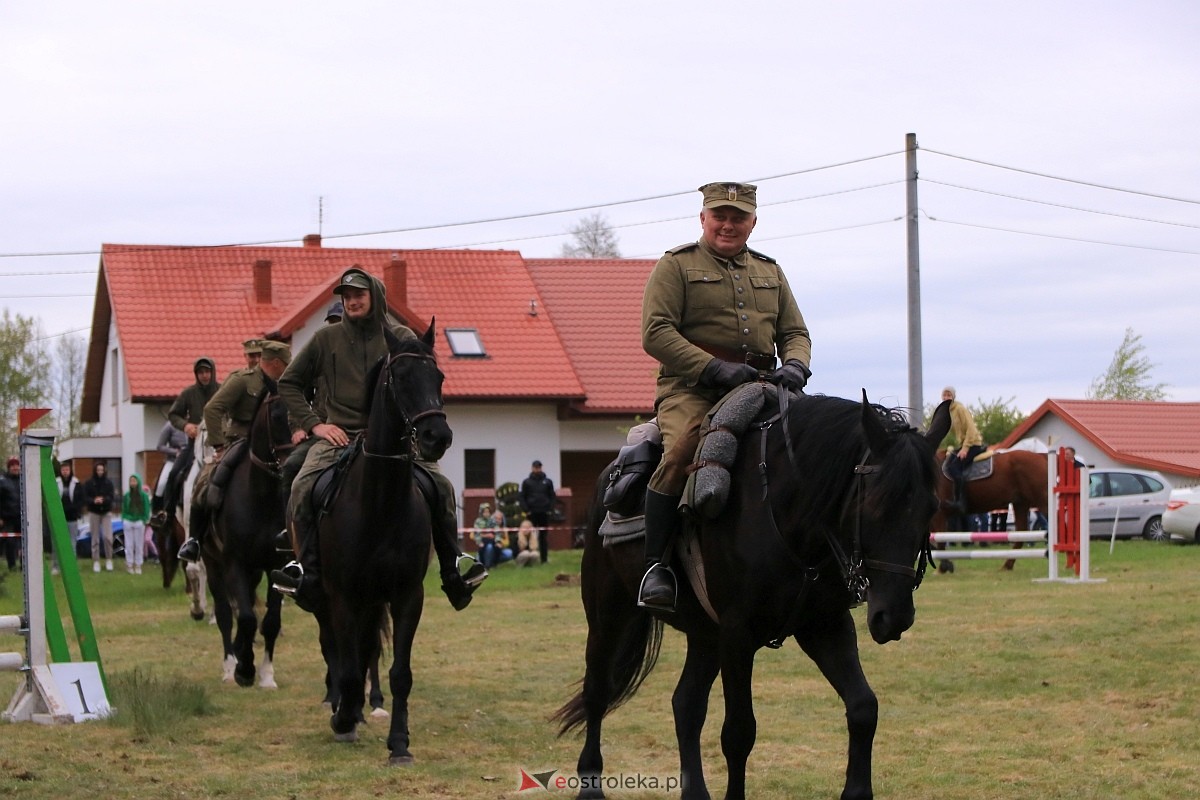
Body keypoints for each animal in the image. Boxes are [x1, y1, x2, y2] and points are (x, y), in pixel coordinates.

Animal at [194, 381, 295, 690]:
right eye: (277, 415)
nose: (293, 462)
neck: (261, 497)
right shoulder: (234, 563)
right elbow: (247, 618)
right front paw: (245, 670)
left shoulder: (275, 567)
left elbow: (269, 622)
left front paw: (266, 675)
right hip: (214, 565)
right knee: (227, 614)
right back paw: (230, 665)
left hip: (253, 571)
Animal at [314, 323, 453, 762]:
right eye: (402, 377)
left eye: (439, 377)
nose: (437, 436)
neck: (380, 503)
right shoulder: (342, 597)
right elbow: (347, 668)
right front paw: (343, 719)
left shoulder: (406, 595)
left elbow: (400, 673)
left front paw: (399, 744)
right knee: (340, 653)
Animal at [554, 393, 955, 800]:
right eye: (873, 503)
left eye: (931, 507)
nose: (895, 616)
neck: (784, 509)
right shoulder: (737, 635)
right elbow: (738, 732)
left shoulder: (825, 626)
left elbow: (863, 708)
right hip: (608, 615)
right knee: (597, 692)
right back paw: (590, 786)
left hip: (704, 637)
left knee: (686, 705)